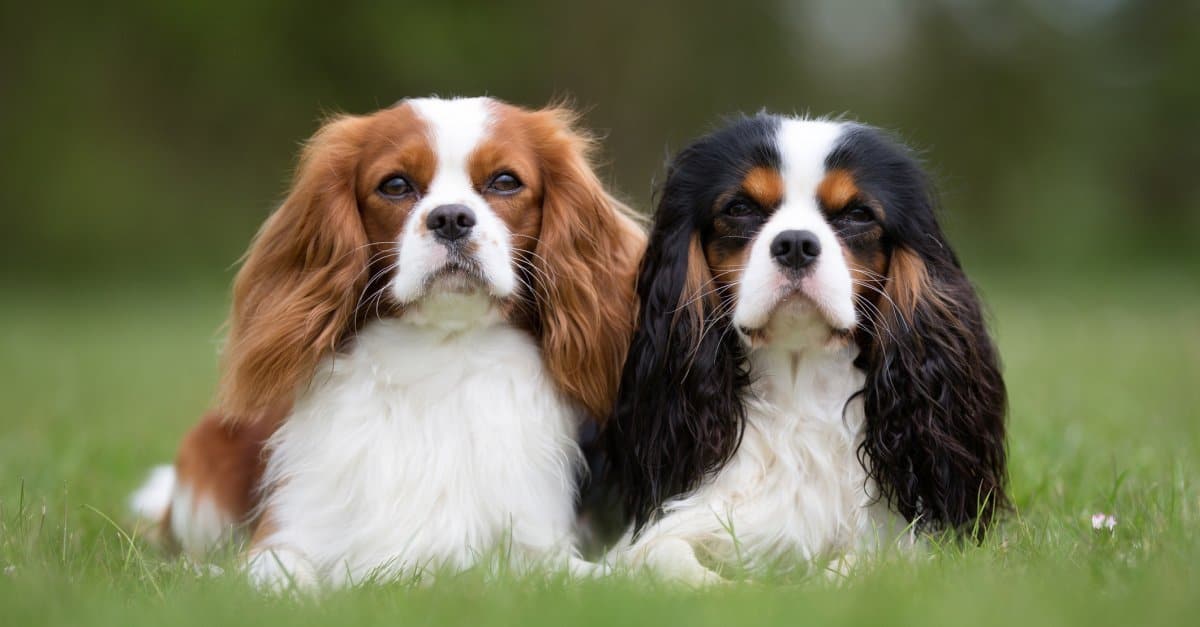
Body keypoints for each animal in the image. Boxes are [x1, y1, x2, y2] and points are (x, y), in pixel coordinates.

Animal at [131, 94, 648, 588]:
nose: (451, 218)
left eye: (505, 181)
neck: (441, 354)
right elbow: (275, 576)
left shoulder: (535, 546)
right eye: (395, 185)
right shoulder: (284, 535)